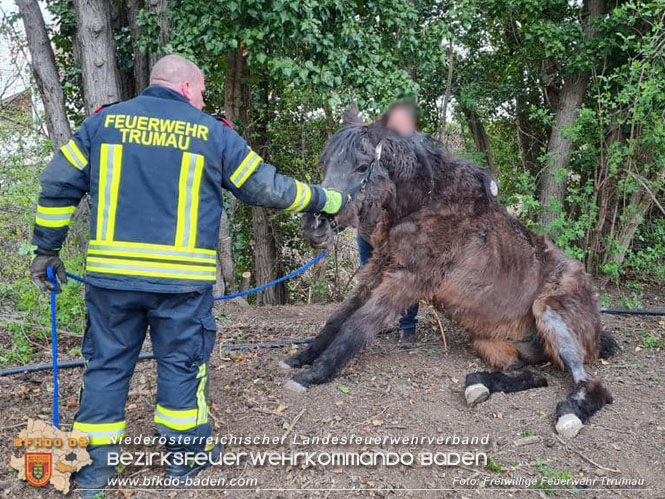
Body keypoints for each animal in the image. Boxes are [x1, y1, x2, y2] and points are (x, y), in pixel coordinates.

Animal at [281, 104, 618, 438]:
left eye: (363, 167)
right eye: (325, 162)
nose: (314, 225)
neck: (427, 205)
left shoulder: (408, 280)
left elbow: (357, 325)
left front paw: (314, 374)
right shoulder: (377, 270)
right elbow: (337, 318)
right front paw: (301, 358)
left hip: (550, 317)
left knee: (592, 386)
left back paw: (570, 414)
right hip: (488, 341)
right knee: (531, 376)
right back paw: (479, 386)